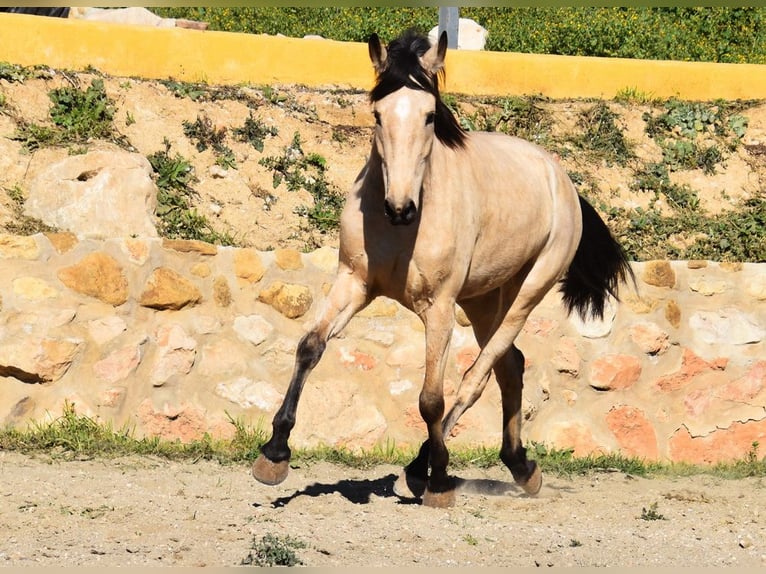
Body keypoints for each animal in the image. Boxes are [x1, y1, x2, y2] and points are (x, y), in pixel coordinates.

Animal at [252, 30, 636, 508]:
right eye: (377, 114)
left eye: (430, 116)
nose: (399, 207)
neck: (405, 226)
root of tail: (561, 179)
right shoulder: (354, 283)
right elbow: (310, 346)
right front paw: (274, 455)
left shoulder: (437, 308)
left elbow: (431, 399)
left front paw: (437, 481)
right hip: (482, 300)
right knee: (510, 366)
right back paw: (520, 467)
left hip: (527, 292)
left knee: (478, 377)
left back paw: (425, 470)